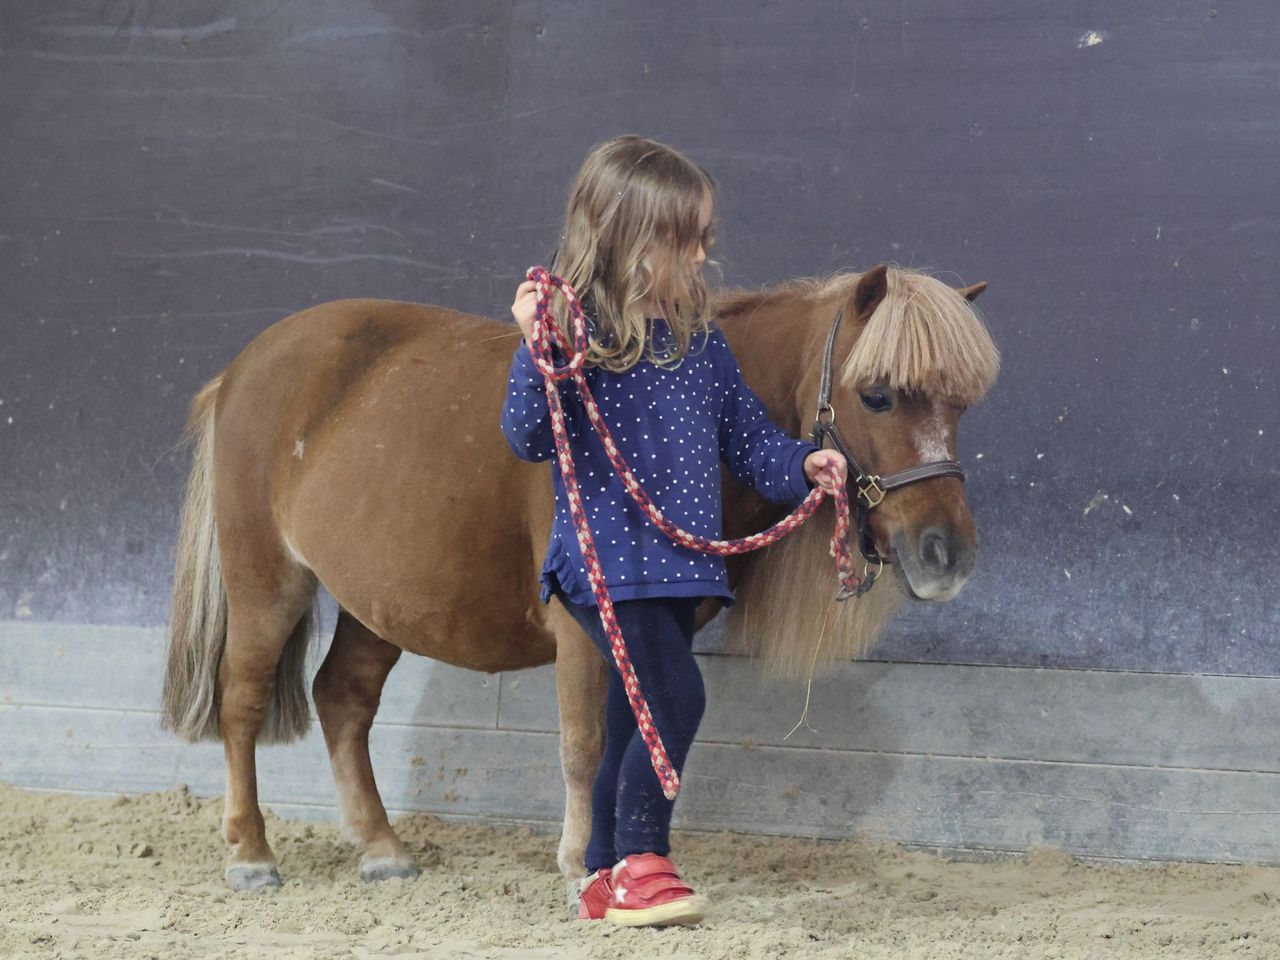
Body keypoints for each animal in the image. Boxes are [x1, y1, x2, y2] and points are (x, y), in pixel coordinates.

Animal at [160, 264, 999, 893]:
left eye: (962, 404)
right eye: (876, 394)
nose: (947, 556)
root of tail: (240, 371)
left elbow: (637, 739)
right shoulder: (580, 626)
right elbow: (584, 743)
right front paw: (577, 864)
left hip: (376, 601)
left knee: (343, 700)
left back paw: (383, 850)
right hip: (266, 579)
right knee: (241, 703)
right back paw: (251, 855)